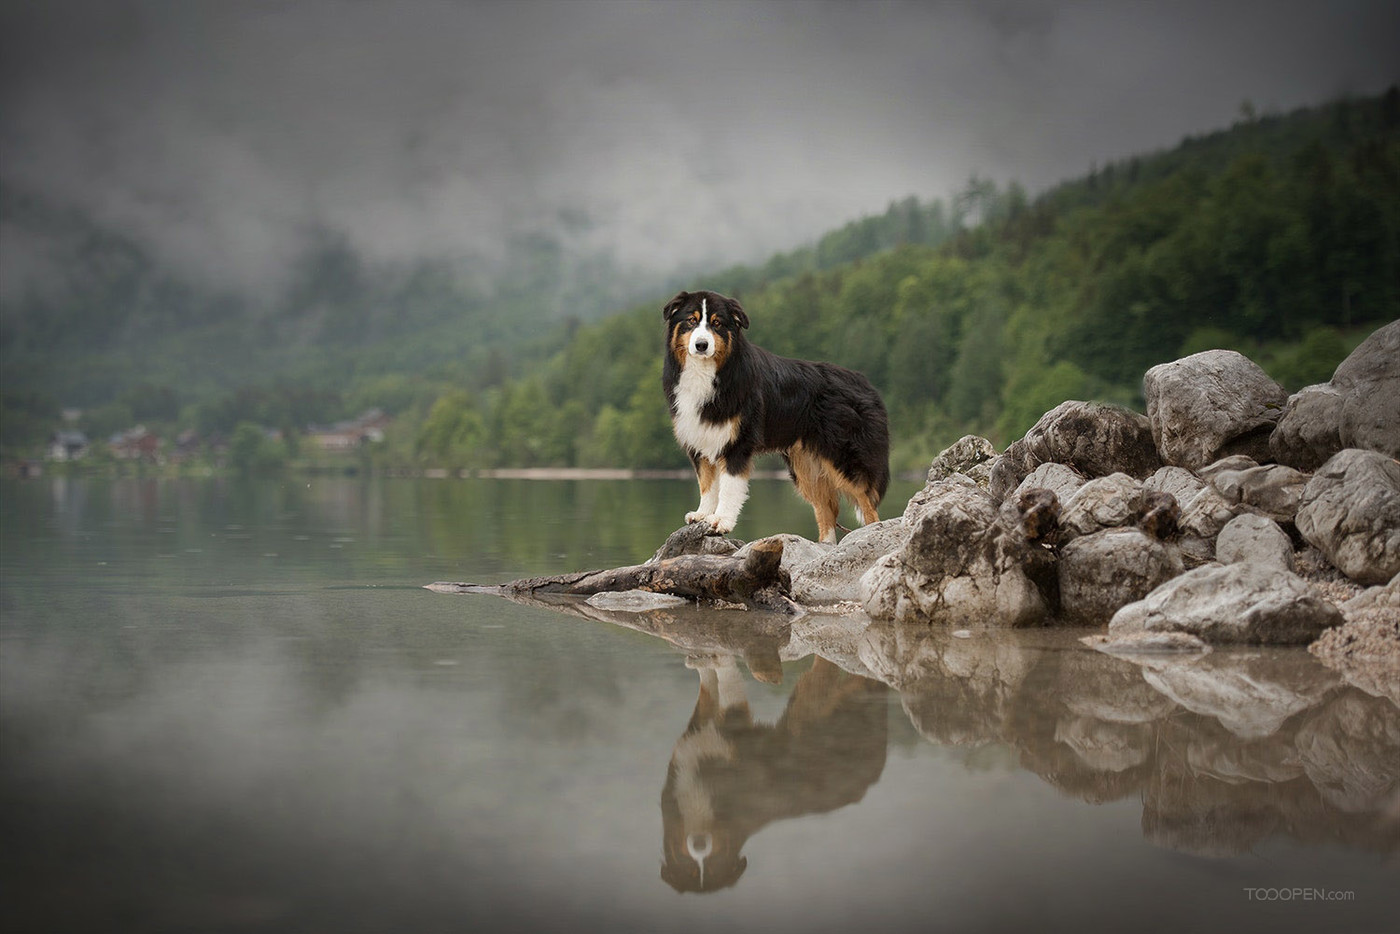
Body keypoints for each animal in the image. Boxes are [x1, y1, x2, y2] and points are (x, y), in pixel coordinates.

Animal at [663, 288, 884, 543]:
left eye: (717, 323)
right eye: (691, 320)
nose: (701, 345)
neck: (708, 372)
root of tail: (865, 383)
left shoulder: (738, 443)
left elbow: (729, 487)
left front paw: (721, 521)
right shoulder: (700, 439)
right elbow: (707, 484)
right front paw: (702, 514)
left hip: (843, 456)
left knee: (866, 501)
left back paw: (871, 534)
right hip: (806, 466)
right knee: (826, 509)